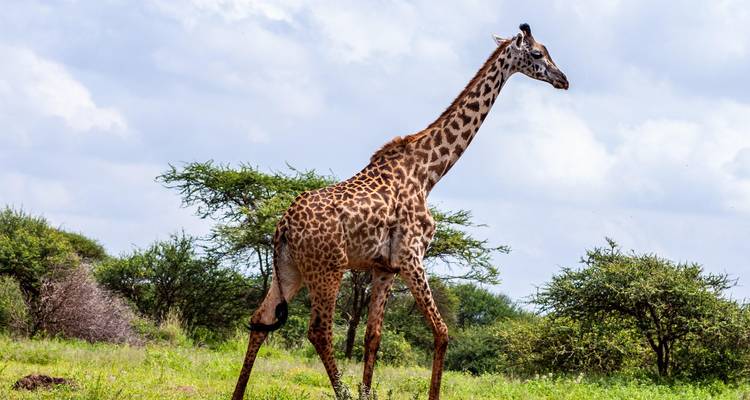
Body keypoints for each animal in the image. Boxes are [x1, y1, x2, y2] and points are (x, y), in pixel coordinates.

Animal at [232, 23, 568, 400]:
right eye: (538, 53)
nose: (563, 79)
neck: (428, 172)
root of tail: (283, 227)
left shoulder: (385, 268)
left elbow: (372, 336)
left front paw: (367, 393)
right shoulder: (412, 256)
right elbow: (441, 332)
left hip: (290, 270)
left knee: (261, 319)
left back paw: (238, 394)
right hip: (328, 268)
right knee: (318, 331)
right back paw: (342, 393)